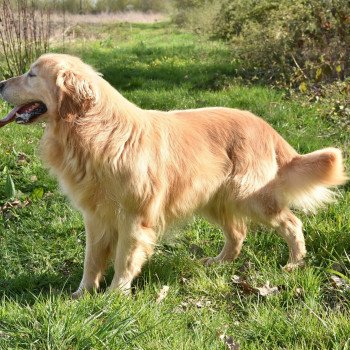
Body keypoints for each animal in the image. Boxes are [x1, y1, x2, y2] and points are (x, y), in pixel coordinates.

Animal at [0, 53, 346, 296]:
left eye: (32, 74)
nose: (1, 84)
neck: (94, 131)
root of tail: (264, 125)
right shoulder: (95, 217)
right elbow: (92, 259)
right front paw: (82, 293)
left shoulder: (134, 217)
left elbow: (124, 259)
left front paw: (115, 294)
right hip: (213, 197)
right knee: (237, 232)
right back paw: (220, 262)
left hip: (251, 196)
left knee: (291, 223)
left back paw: (294, 263)